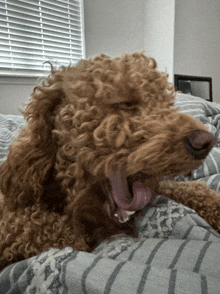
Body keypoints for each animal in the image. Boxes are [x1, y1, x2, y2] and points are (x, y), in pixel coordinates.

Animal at [0, 52, 218, 272]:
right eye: (125, 103)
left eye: (167, 104)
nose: (205, 141)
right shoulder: (15, 222)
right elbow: (47, 229)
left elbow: (188, 188)